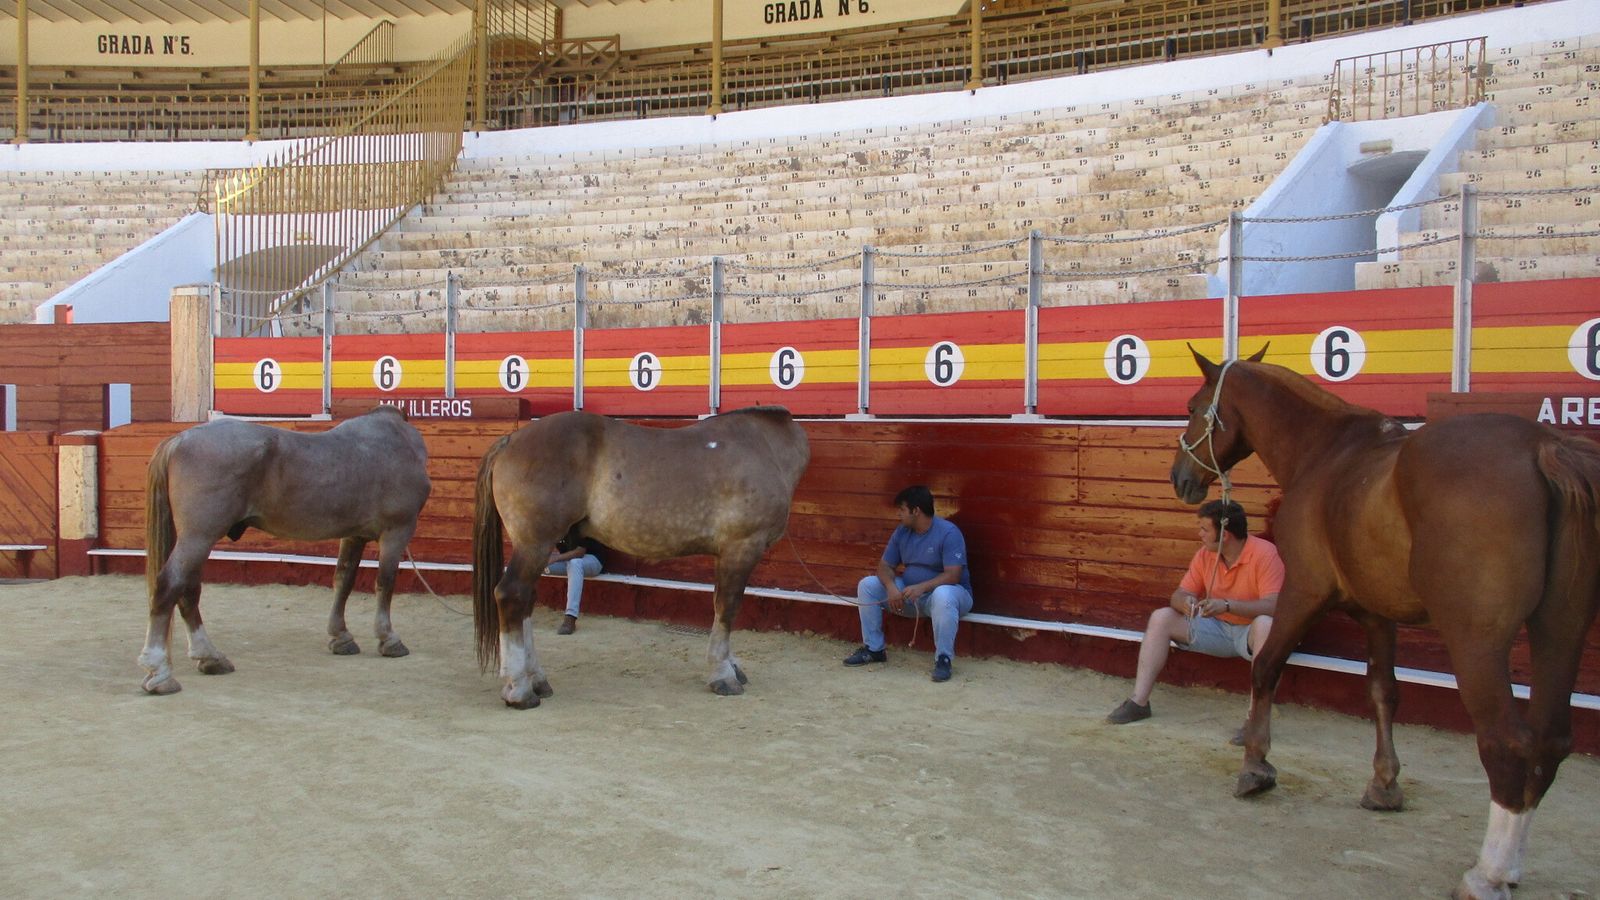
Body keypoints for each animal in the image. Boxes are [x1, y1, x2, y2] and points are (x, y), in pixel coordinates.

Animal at [139, 406, 432, 695]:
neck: (392, 441)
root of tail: (180, 440)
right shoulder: (397, 531)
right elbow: (385, 582)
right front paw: (389, 638)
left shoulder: (354, 535)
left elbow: (344, 580)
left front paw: (340, 636)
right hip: (198, 537)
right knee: (170, 585)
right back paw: (160, 672)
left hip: (196, 540)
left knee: (188, 591)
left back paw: (210, 657)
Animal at [471, 406, 810, 708]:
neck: (762, 445)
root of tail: (511, 441)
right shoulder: (741, 548)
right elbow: (728, 609)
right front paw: (723, 674)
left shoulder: (725, 555)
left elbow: (720, 607)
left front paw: (732, 665)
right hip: (536, 544)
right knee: (512, 595)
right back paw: (519, 690)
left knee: (525, 602)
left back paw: (537, 680)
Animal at [1169, 346, 1600, 900]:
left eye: (1193, 406)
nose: (1180, 478)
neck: (1327, 452)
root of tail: (1544, 446)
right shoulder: (1379, 615)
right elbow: (1383, 692)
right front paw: (1384, 784)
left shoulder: (1302, 593)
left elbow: (1265, 668)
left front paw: (1256, 765)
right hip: (1560, 631)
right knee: (1552, 739)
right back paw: (1512, 864)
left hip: (1477, 643)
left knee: (1508, 741)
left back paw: (1488, 873)